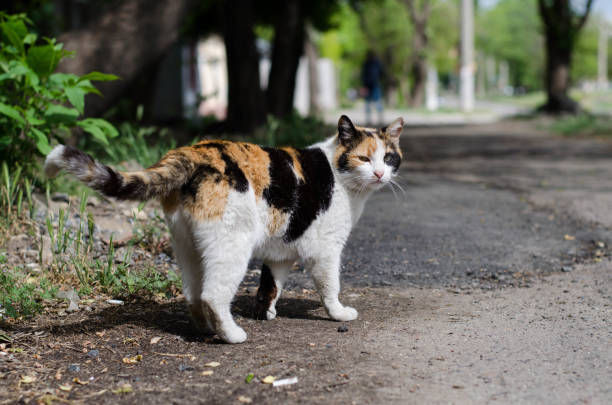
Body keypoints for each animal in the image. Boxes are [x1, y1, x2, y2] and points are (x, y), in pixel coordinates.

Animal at [45, 113, 404, 340]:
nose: (379, 174)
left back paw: (207, 330)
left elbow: (270, 285)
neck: (341, 177)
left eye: (388, 158)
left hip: (188, 246)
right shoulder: (325, 249)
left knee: (193, 293)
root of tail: (190, 152)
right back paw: (231, 334)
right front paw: (338, 313)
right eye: (363, 158)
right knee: (212, 294)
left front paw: (265, 312)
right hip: (232, 246)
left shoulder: (280, 251)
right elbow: (330, 286)